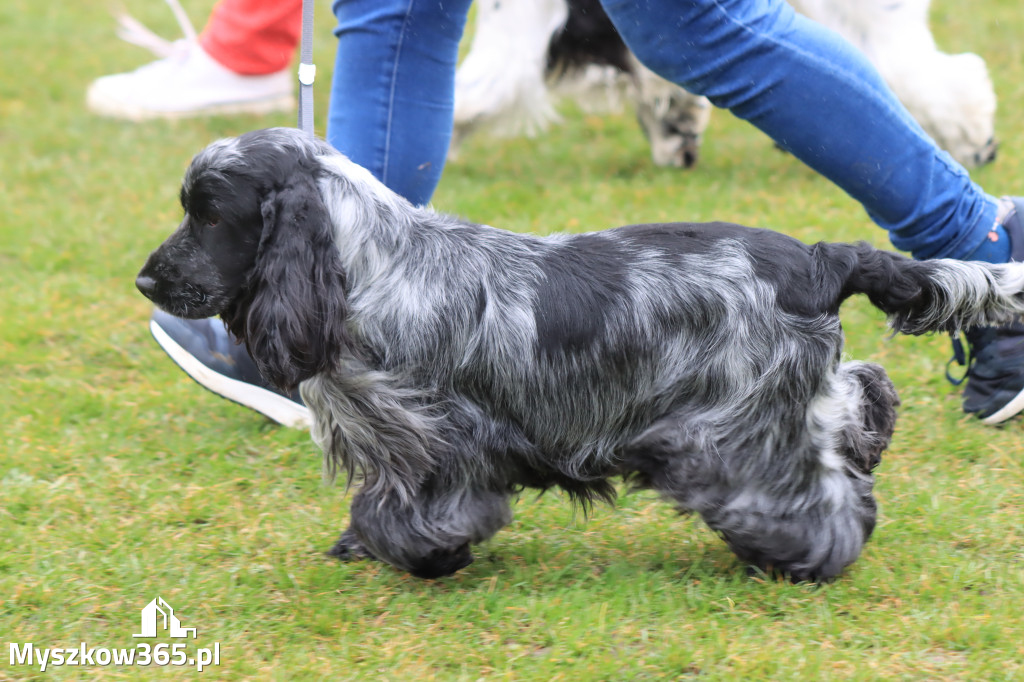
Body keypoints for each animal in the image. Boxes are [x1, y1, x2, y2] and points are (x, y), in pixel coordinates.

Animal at [140, 131, 1024, 577]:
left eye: (208, 213)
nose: (146, 279)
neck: (368, 263)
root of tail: (816, 260)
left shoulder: (437, 439)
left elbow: (414, 508)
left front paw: (419, 555)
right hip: (794, 397)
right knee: (864, 399)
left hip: (736, 433)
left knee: (818, 498)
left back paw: (802, 558)